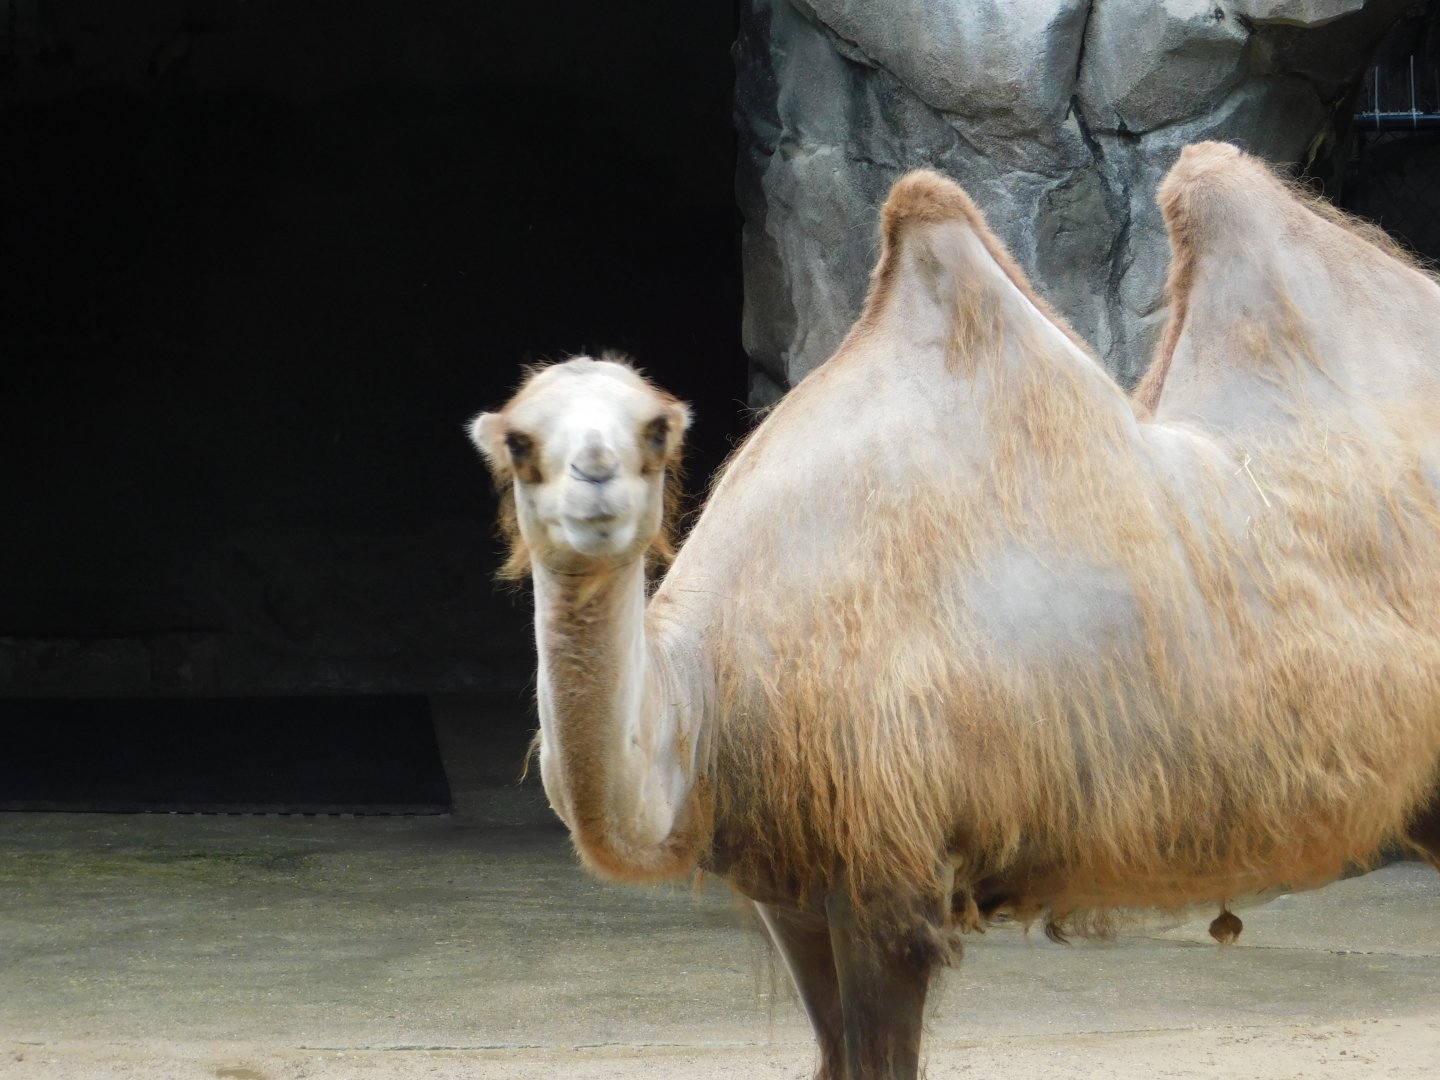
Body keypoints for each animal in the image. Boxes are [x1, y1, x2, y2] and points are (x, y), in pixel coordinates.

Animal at [468, 144, 1440, 1079]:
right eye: (519, 440)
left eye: (656, 430)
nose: (594, 481)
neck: (708, 699)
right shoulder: (792, 892)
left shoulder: (888, 885)